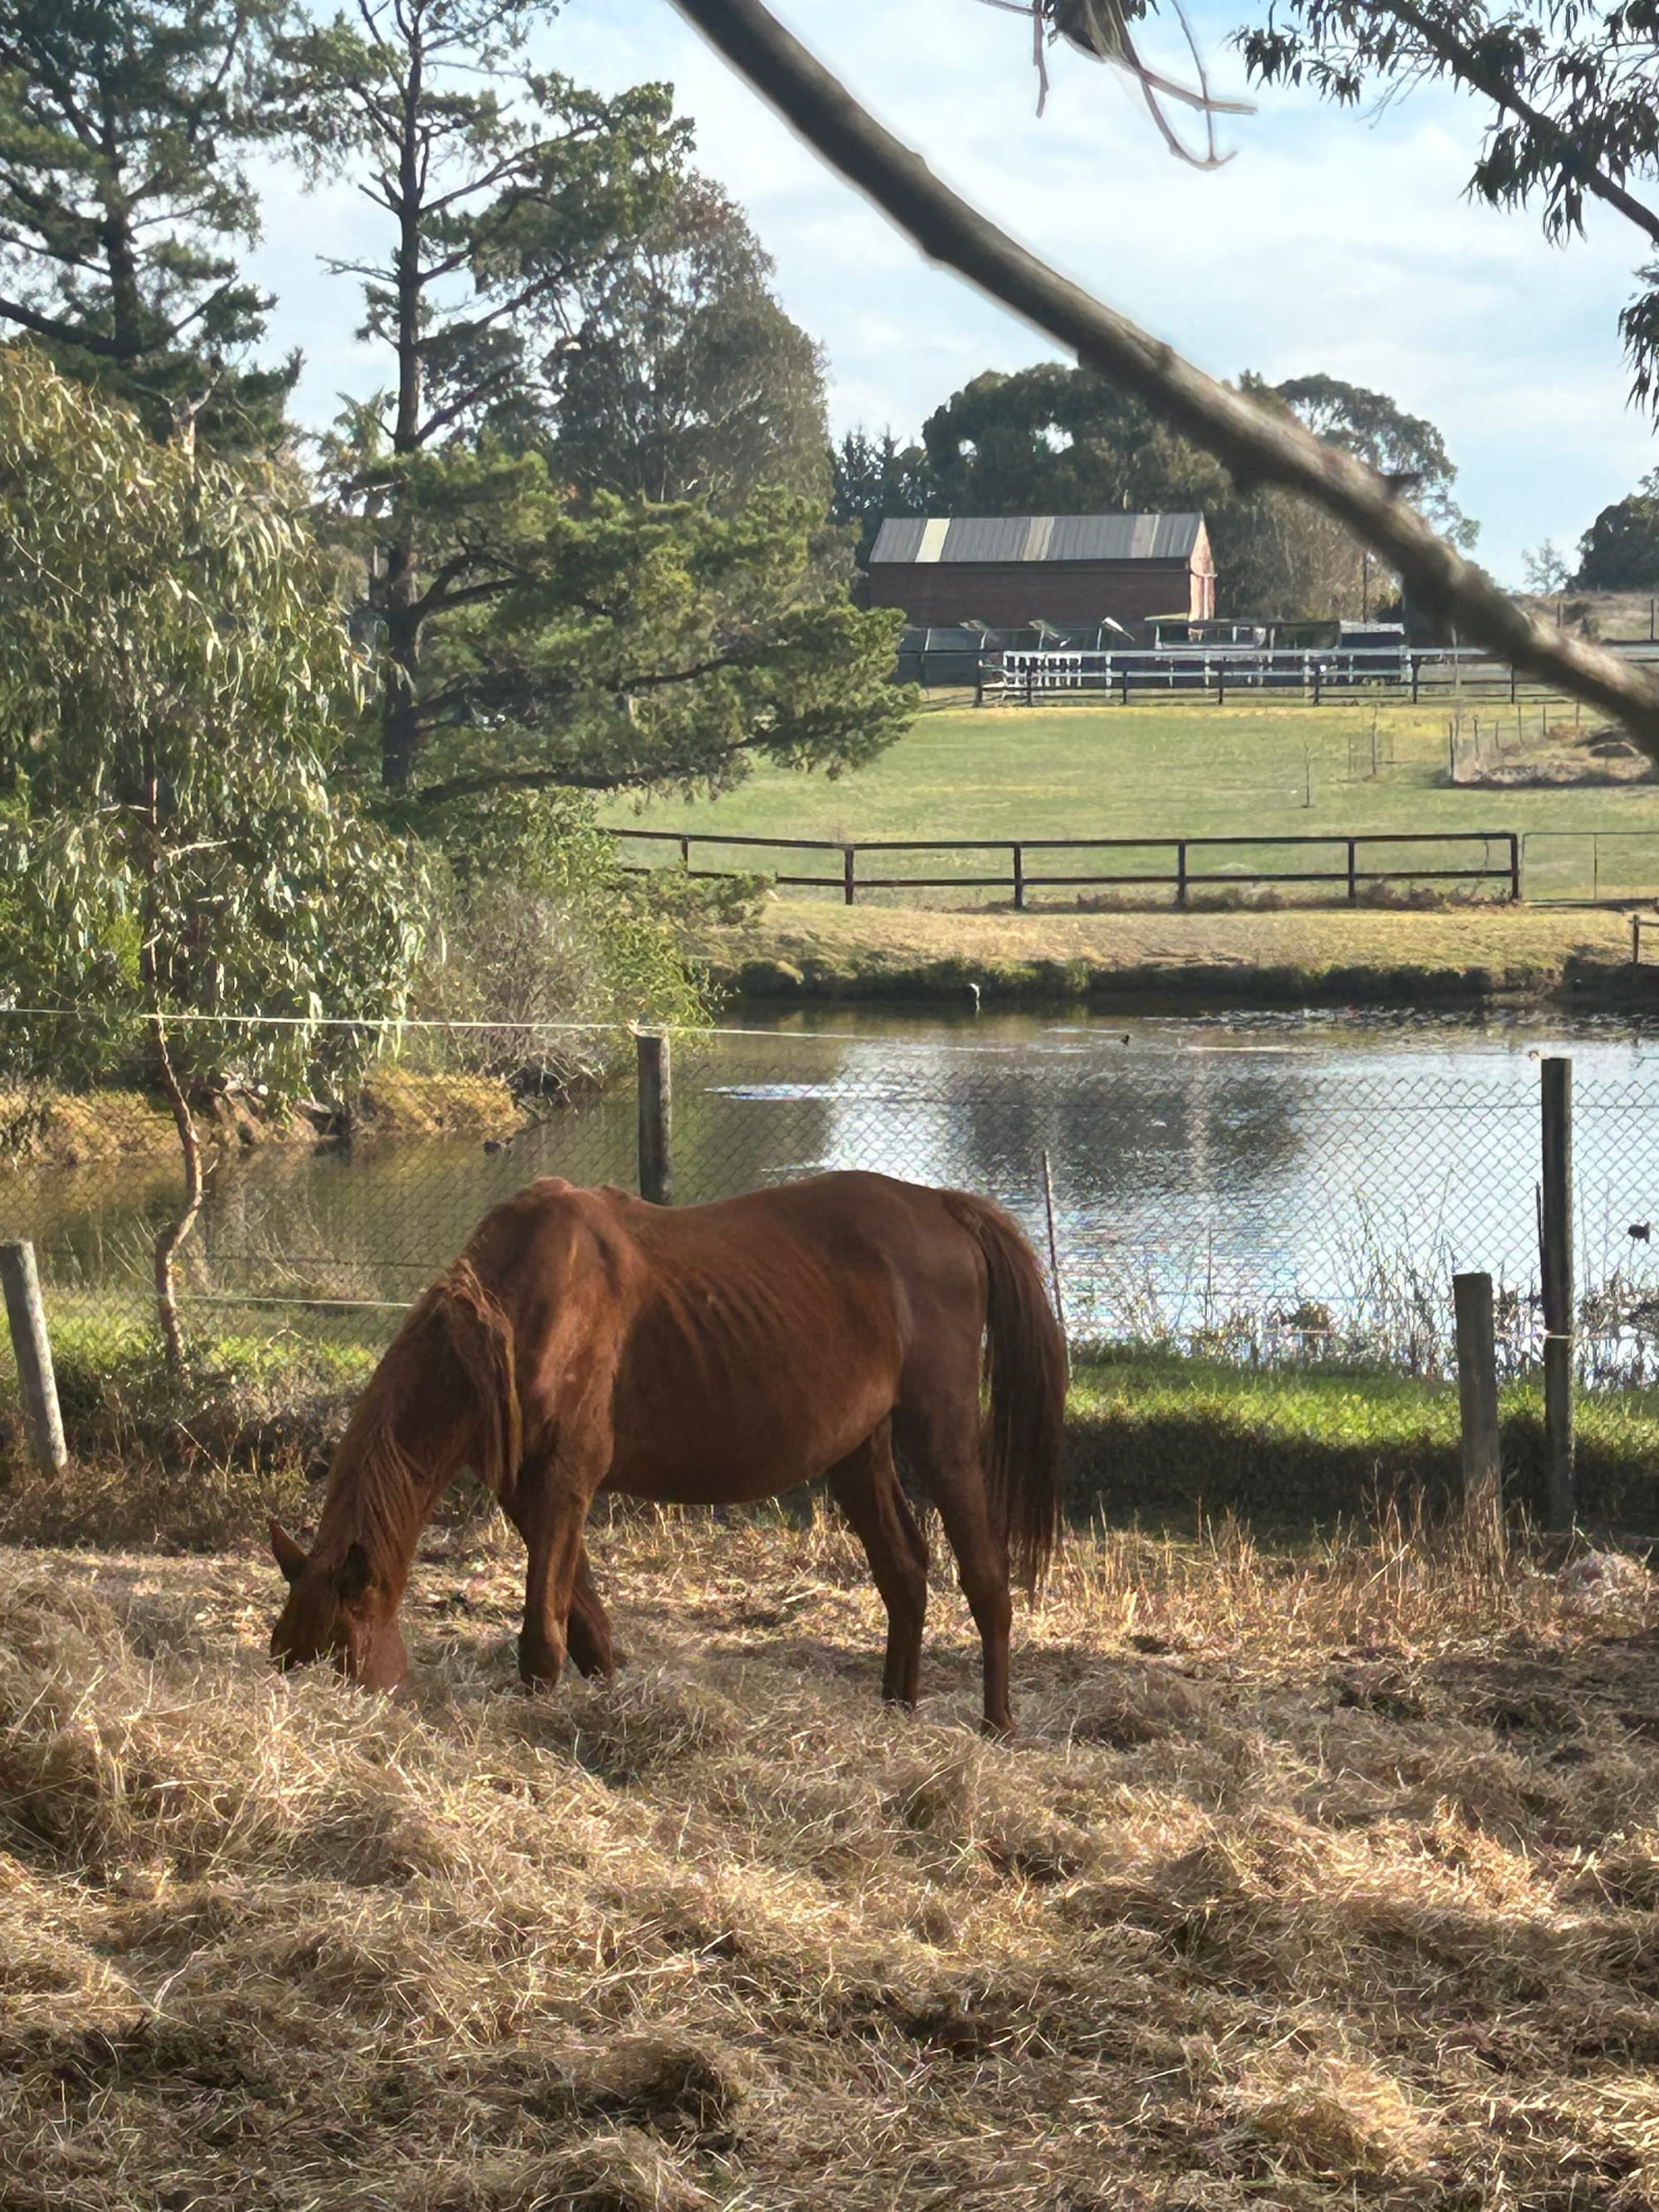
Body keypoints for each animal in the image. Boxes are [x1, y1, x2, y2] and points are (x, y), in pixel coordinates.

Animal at [269, 1169, 1067, 1735]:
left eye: (342, 1663)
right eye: (285, 1657)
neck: (519, 1305)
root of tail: (942, 1206)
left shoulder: (566, 1481)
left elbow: (543, 1633)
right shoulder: (529, 1492)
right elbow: (586, 1623)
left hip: (941, 1435)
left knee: (986, 1578)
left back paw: (997, 1726)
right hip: (856, 1453)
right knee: (904, 1575)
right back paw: (895, 1711)